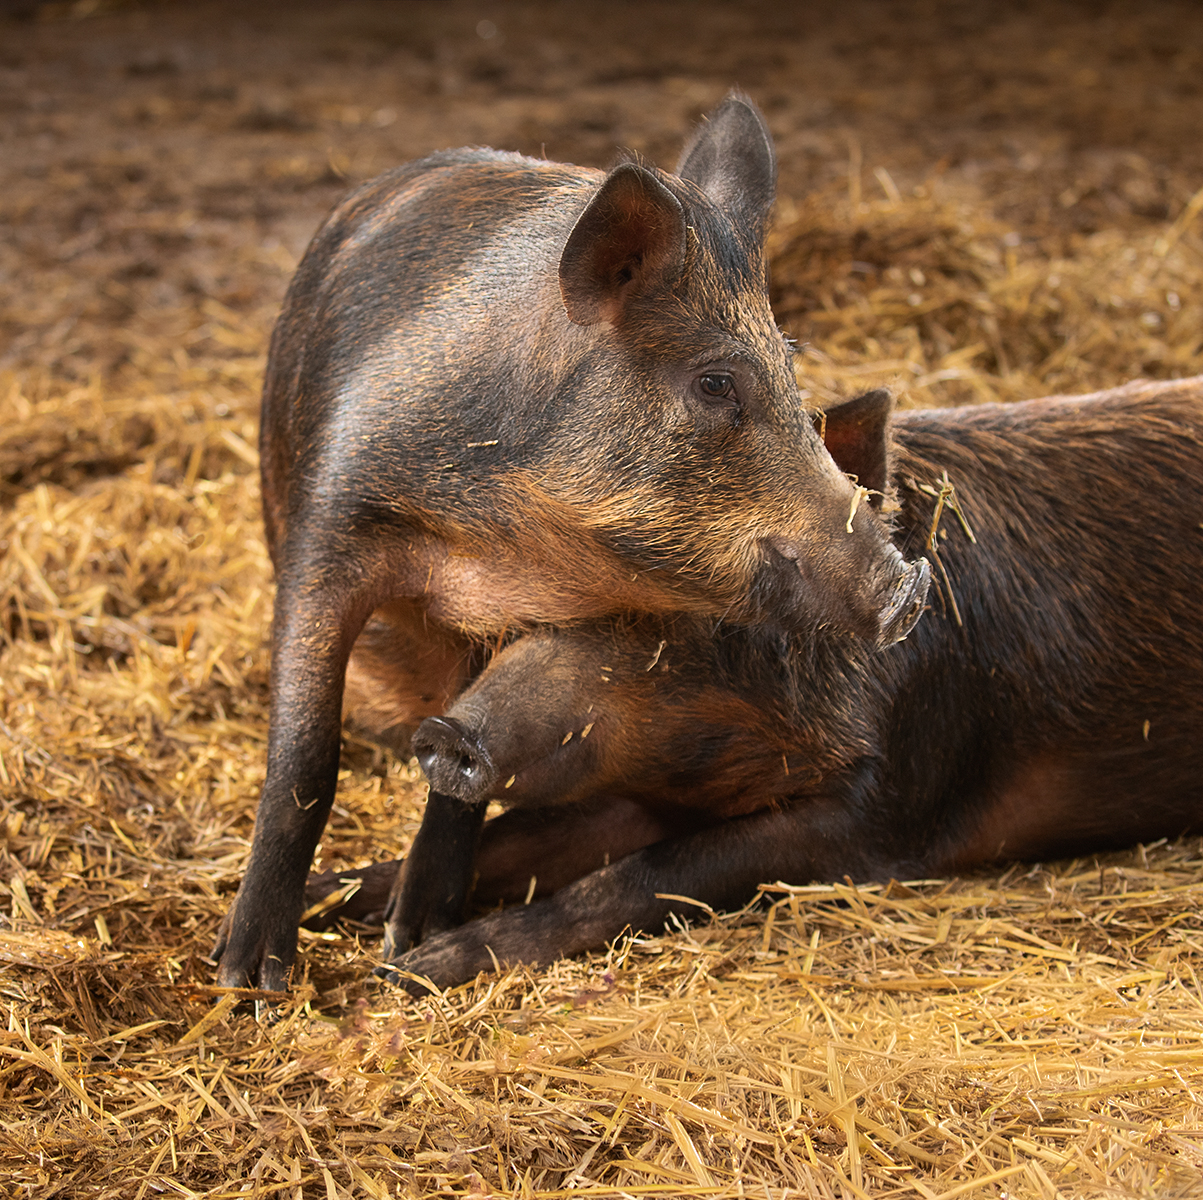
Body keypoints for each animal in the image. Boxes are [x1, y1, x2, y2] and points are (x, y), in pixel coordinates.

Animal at [214, 94, 930, 992]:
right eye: (714, 383)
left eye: (791, 375)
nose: (907, 588)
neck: (494, 542)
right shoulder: (328, 530)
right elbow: (306, 755)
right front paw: (250, 983)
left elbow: (469, 762)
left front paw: (413, 945)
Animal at [306, 376, 1203, 989]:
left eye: (678, 618)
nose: (448, 732)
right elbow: (517, 840)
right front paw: (337, 910)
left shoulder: (883, 811)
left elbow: (645, 876)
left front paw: (421, 968)